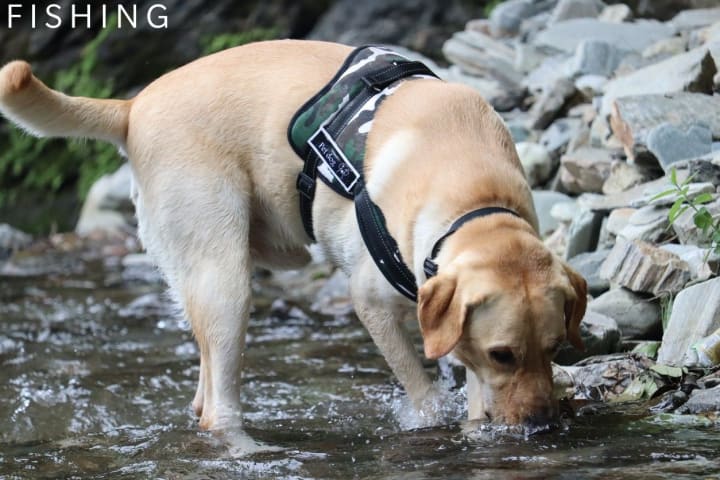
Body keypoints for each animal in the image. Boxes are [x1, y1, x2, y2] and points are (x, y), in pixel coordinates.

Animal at [0, 39, 586, 431]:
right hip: (225, 281)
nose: (542, 425)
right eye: (503, 354)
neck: (476, 200)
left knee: (203, 390)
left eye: (556, 348)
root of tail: (132, 107)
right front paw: (434, 415)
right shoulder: (371, 301)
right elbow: (423, 386)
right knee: (218, 408)